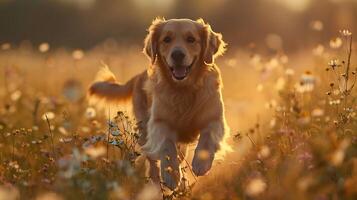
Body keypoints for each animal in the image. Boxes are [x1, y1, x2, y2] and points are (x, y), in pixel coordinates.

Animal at [87, 18, 229, 190]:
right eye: (166, 39)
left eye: (191, 39)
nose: (177, 54)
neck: (184, 90)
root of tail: (138, 76)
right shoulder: (159, 122)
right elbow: (167, 147)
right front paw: (170, 175)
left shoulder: (215, 119)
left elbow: (207, 138)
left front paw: (201, 163)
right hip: (144, 131)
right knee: (153, 161)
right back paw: (157, 185)